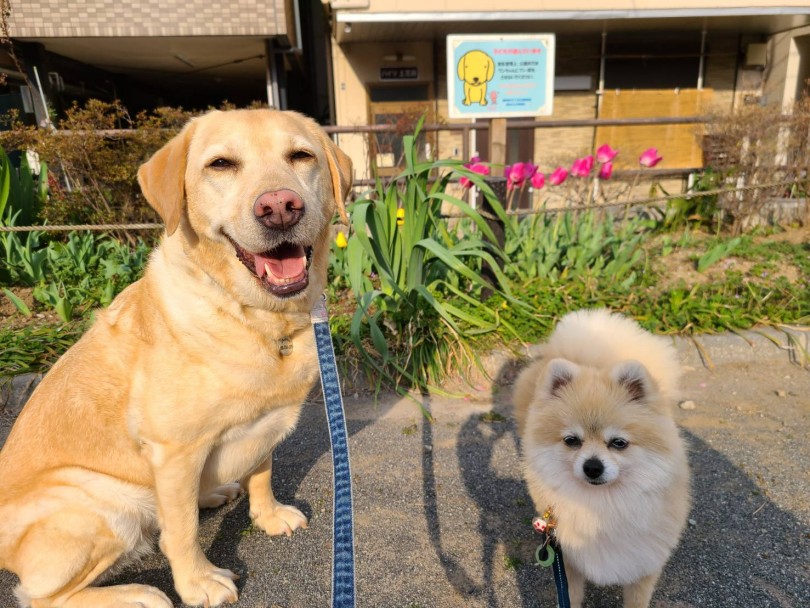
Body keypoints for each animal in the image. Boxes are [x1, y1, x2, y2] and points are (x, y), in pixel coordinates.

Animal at [512, 312, 688, 604]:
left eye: (619, 443)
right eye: (572, 441)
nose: (592, 467)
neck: (602, 507)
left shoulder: (645, 563)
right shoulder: (567, 561)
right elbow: (570, 596)